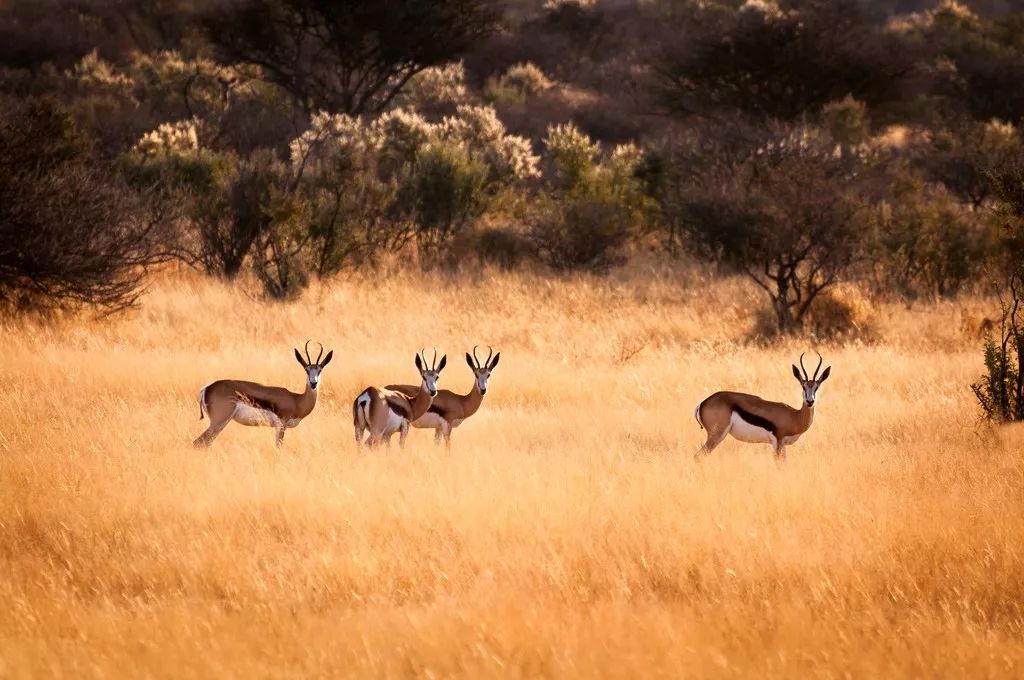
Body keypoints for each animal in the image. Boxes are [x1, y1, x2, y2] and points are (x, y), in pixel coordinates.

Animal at [193, 342, 333, 448]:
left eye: (320, 370)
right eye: (306, 370)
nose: (313, 383)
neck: (296, 400)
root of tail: (206, 388)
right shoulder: (281, 426)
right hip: (219, 421)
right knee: (198, 442)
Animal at [696, 350, 831, 462]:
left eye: (816, 387)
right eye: (803, 386)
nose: (810, 401)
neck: (794, 416)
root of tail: (702, 403)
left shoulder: (783, 445)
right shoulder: (778, 443)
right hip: (716, 436)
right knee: (698, 456)